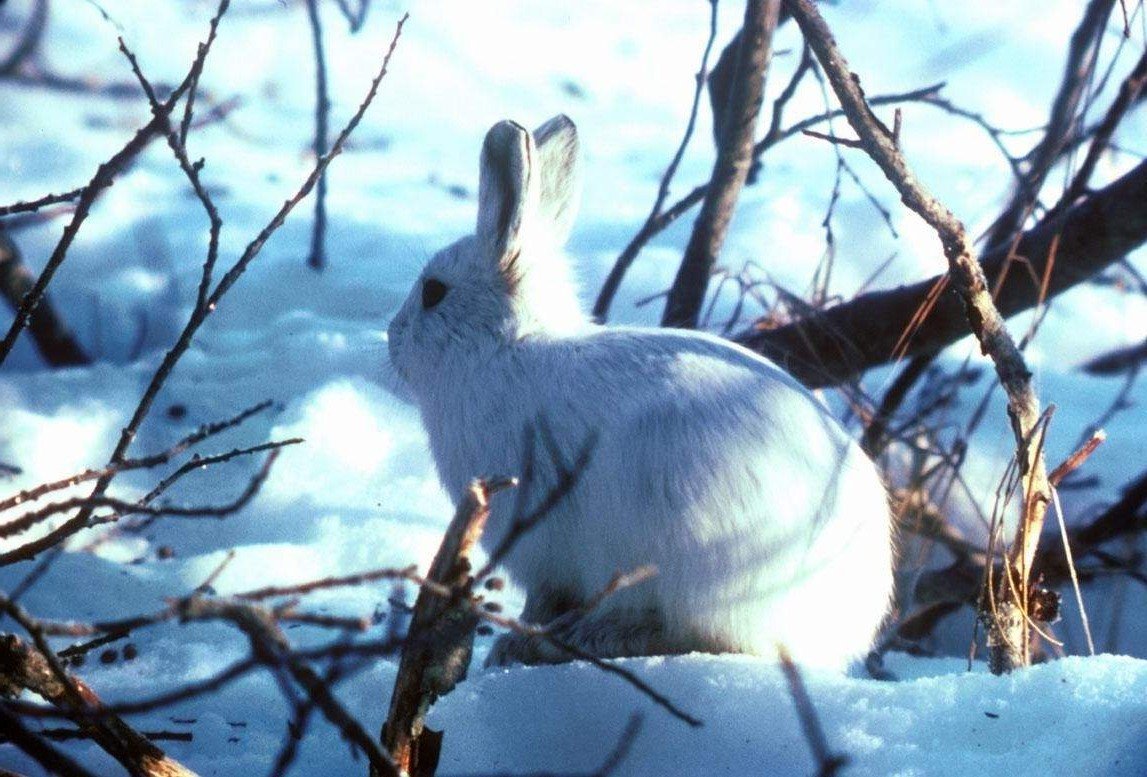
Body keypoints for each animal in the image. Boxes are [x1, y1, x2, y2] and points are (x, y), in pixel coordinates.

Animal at [387, 115, 894, 669]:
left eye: (434, 292)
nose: (392, 339)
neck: (505, 348)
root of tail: (834, 629)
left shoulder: (541, 543)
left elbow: (543, 597)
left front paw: (513, 642)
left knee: (706, 639)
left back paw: (588, 638)